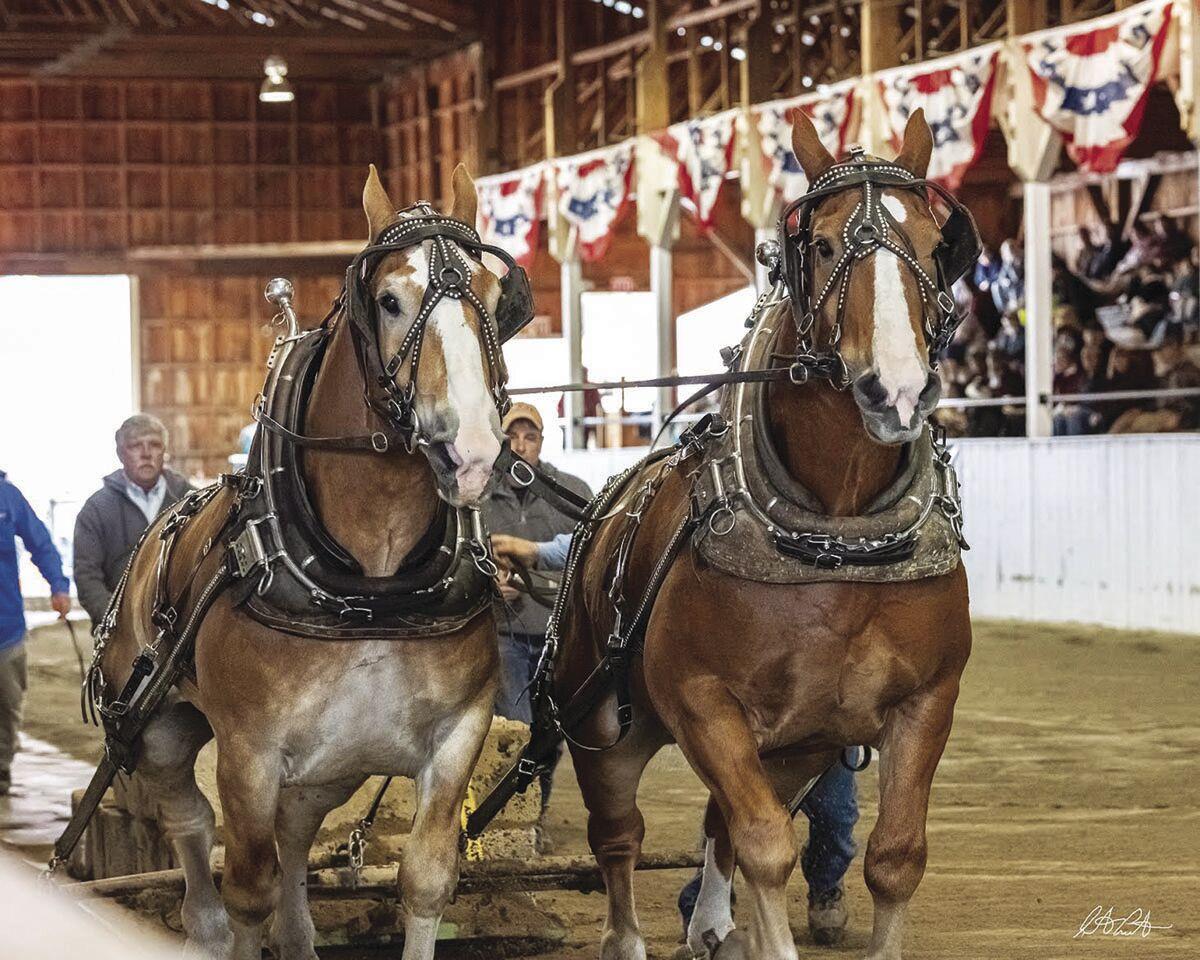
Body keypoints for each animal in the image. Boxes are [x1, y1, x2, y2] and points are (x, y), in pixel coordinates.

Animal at [79, 165, 520, 960]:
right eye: (389, 300)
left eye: (498, 302)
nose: (469, 452)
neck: (371, 588)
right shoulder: (249, 752)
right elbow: (248, 888)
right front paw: (236, 920)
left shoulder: (459, 731)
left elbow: (427, 880)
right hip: (159, 731)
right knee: (192, 824)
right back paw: (203, 923)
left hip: (332, 766)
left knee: (295, 828)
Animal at [549, 108, 974, 955]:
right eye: (822, 244)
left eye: (935, 243)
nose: (897, 388)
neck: (839, 539)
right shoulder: (703, 702)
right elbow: (766, 845)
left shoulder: (926, 699)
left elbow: (894, 858)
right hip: (602, 725)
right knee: (619, 837)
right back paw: (627, 936)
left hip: (795, 746)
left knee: (718, 824)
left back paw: (713, 924)